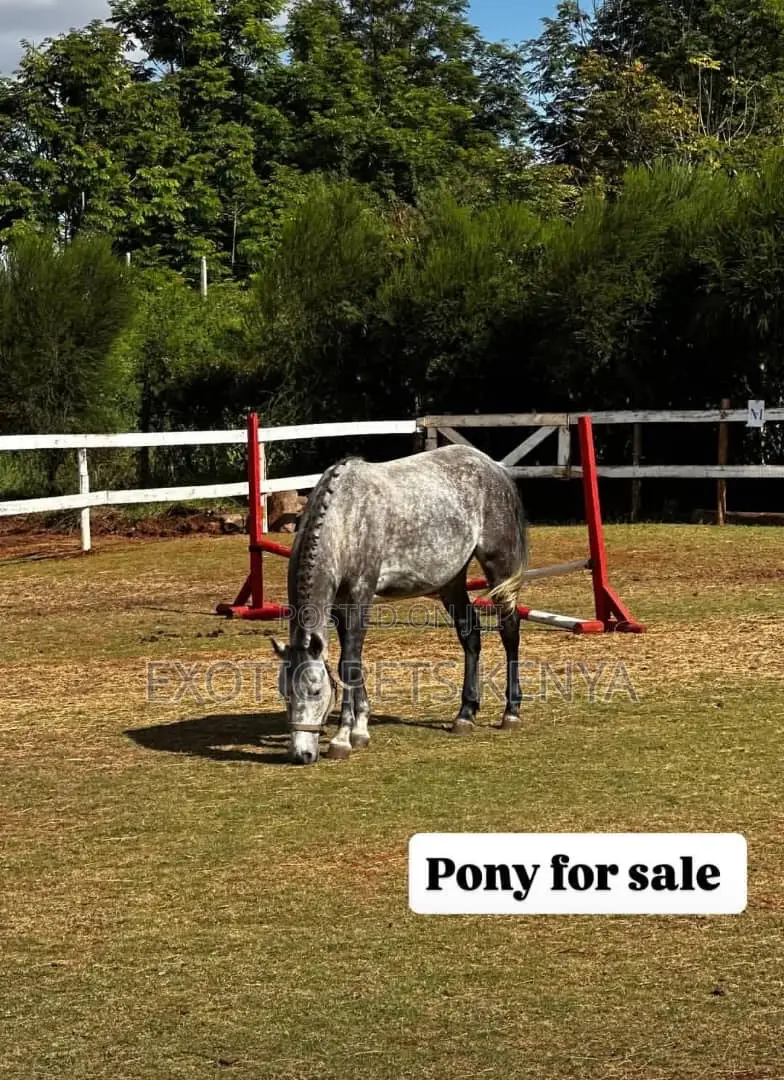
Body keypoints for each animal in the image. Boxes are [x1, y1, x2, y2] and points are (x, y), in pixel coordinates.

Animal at [270, 443, 529, 764]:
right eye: (284, 692)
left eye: (316, 690)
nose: (301, 754)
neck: (345, 518)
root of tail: (494, 466)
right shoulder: (340, 607)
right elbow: (352, 661)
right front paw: (360, 729)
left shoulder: (360, 596)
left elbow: (348, 664)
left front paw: (343, 738)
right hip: (452, 580)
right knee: (471, 635)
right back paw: (465, 714)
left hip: (500, 569)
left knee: (510, 630)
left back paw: (511, 712)